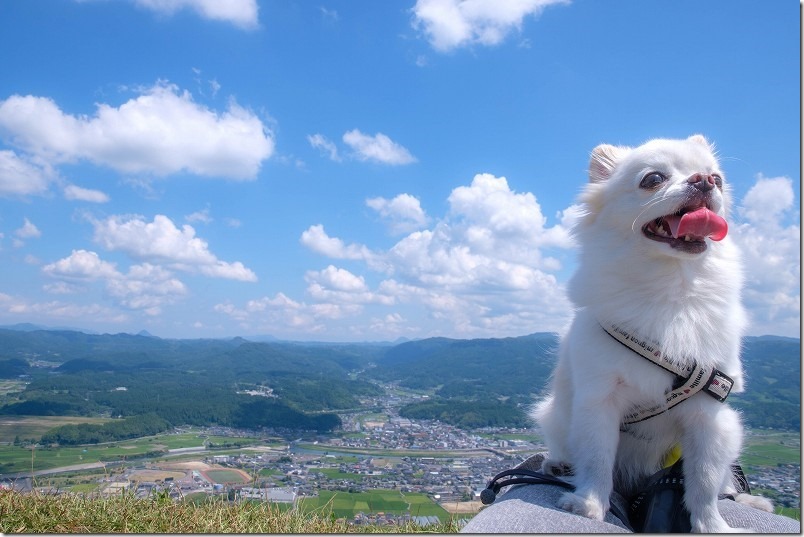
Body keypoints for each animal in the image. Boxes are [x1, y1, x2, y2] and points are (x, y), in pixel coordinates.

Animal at [532, 135, 772, 532]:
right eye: (653, 179)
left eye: (719, 180)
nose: (705, 179)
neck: (670, 290)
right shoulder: (599, 399)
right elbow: (597, 458)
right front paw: (590, 504)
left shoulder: (708, 414)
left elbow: (704, 480)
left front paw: (712, 525)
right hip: (555, 414)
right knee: (567, 446)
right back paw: (558, 463)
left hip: (730, 429)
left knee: (722, 479)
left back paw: (747, 498)